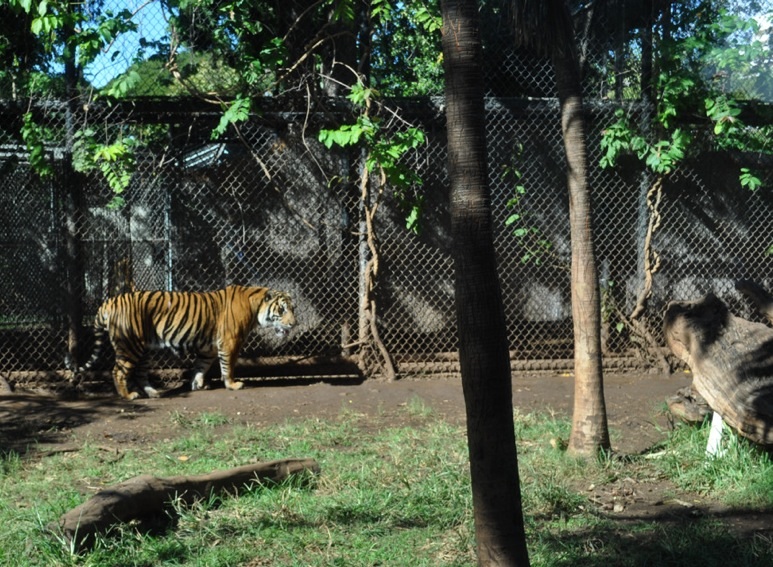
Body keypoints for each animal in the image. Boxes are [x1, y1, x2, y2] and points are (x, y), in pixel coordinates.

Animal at [78, 285, 296, 400]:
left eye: (293, 309)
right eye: (282, 310)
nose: (294, 323)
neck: (255, 307)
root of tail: (109, 301)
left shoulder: (209, 348)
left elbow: (201, 366)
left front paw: (197, 384)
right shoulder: (230, 342)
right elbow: (228, 366)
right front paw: (233, 385)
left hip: (144, 349)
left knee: (140, 373)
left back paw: (153, 393)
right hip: (129, 345)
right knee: (118, 371)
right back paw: (128, 395)